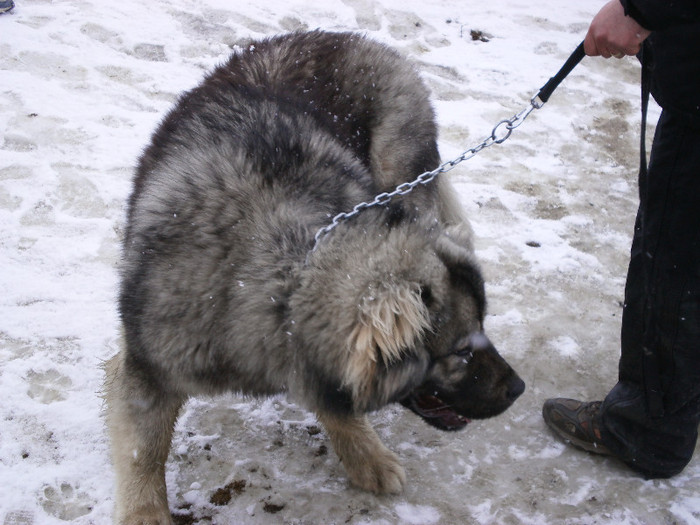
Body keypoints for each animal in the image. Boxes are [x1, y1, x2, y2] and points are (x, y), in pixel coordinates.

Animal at [105, 30, 524, 520]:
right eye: (459, 351)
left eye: (484, 328)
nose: (518, 389)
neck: (280, 279)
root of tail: (364, 41)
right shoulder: (148, 367)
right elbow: (145, 451)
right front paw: (144, 513)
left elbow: (337, 400)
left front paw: (364, 453)